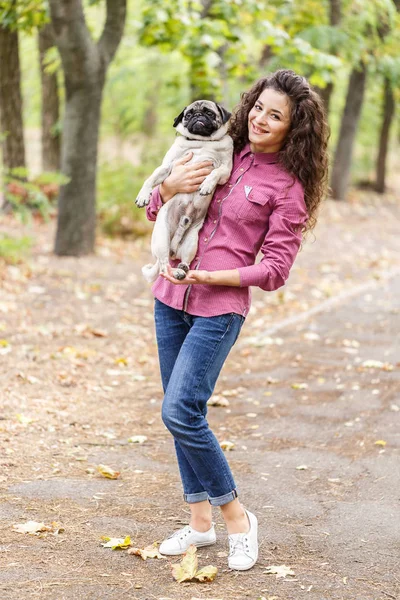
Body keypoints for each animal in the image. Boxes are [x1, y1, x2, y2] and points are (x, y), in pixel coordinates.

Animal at [136, 99, 233, 282]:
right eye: (188, 115)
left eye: (209, 113)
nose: (198, 116)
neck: (203, 141)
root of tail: (173, 248)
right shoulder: (167, 167)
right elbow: (151, 179)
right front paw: (143, 196)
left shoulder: (225, 170)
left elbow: (215, 173)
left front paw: (207, 185)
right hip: (161, 239)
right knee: (163, 265)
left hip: (191, 243)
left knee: (183, 261)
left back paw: (181, 271)